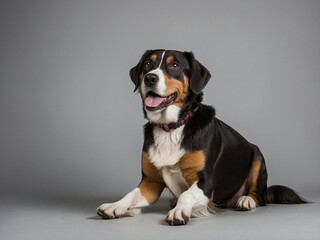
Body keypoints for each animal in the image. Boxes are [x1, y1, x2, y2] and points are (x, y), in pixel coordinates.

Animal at [96, 49, 306, 226]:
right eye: (148, 64)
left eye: (175, 65)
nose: (150, 78)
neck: (171, 128)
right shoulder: (150, 181)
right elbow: (131, 194)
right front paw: (115, 206)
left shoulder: (205, 181)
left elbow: (186, 195)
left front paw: (180, 211)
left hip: (257, 156)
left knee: (259, 197)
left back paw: (246, 200)